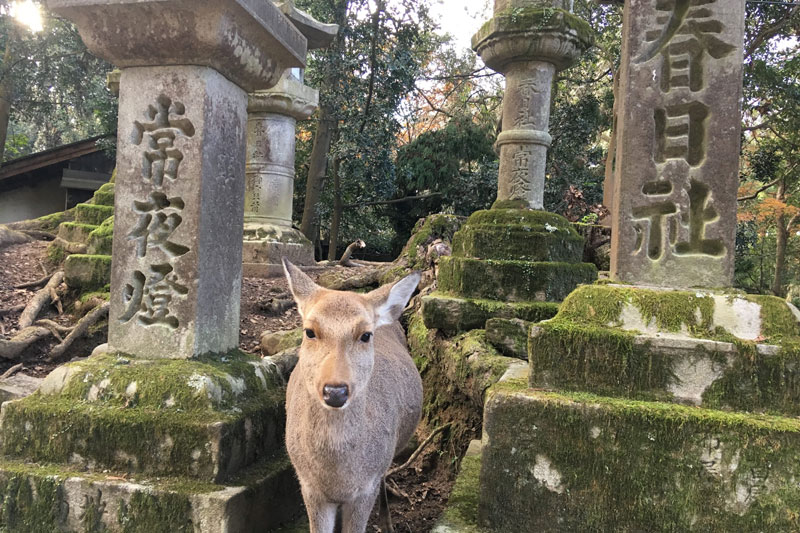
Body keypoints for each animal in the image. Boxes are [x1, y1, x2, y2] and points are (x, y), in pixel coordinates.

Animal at [282, 258, 424, 532]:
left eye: (366, 335)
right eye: (309, 331)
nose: (335, 391)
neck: (338, 478)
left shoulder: (366, 487)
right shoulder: (308, 486)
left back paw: (387, 522)